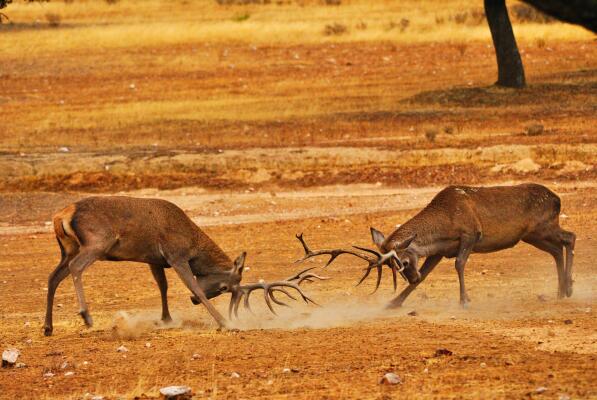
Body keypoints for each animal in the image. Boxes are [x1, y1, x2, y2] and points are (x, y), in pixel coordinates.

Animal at [46, 195, 316, 336]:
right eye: (224, 288)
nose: (193, 303)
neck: (192, 244)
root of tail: (61, 215)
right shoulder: (176, 256)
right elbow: (193, 286)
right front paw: (224, 321)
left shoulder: (155, 259)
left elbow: (162, 286)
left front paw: (166, 318)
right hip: (96, 243)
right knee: (76, 268)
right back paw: (86, 315)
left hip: (67, 249)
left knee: (53, 277)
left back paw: (48, 327)